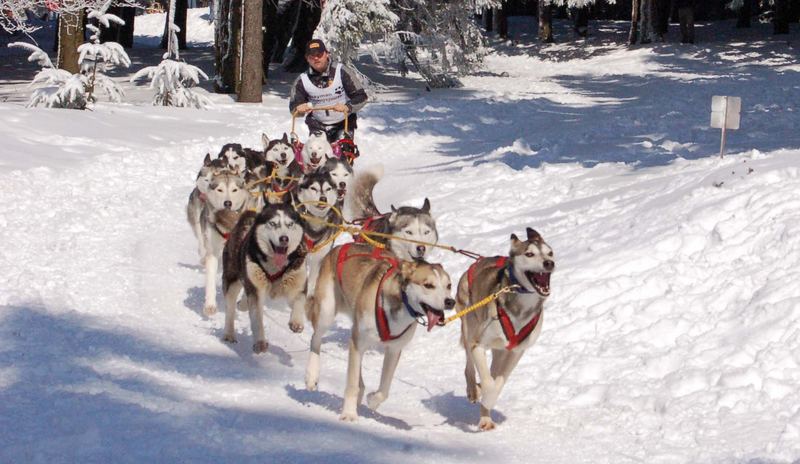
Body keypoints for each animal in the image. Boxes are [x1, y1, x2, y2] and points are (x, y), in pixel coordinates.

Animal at [304, 245, 454, 422]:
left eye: (449, 285)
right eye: (428, 285)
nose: (450, 301)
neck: (399, 303)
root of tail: (339, 247)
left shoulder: (393, 350)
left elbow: (384, 389)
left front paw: (373, 399)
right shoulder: (359, 342)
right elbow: (351, 384)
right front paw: (349, 414)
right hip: (326, 313)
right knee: (315, 338)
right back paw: (312, 375)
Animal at [456, 228, 556, 432]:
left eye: (550, 253)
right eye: (529, 254)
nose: (549, 263)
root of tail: (478, 261)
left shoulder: (516, 352)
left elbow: (499, 382)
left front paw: (489, 401)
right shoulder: (478, 345)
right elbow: (488, 382)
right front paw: (484, 393)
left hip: (499, 350)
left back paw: (485, 418)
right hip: (468, 328)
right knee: (469, 365)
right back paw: (473, 390)